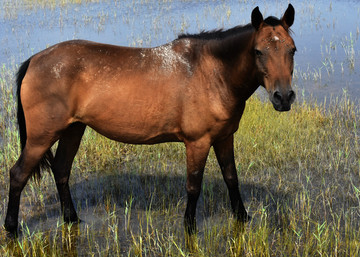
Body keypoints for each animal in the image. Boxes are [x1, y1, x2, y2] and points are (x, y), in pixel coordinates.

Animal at [4, 4, 296, 236]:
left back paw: (72, 219)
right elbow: (193, 186)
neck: (212, 72)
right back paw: (11, 228)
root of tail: (34, 60)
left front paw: (242, 217)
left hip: (73, 130)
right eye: (258, 51)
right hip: (41, 136)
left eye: (292, 50)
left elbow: (231, 177)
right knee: (18, 174)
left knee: (62, 170)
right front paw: (189, 227)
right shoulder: (198, 142)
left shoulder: (224, 137)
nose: (283, 97)